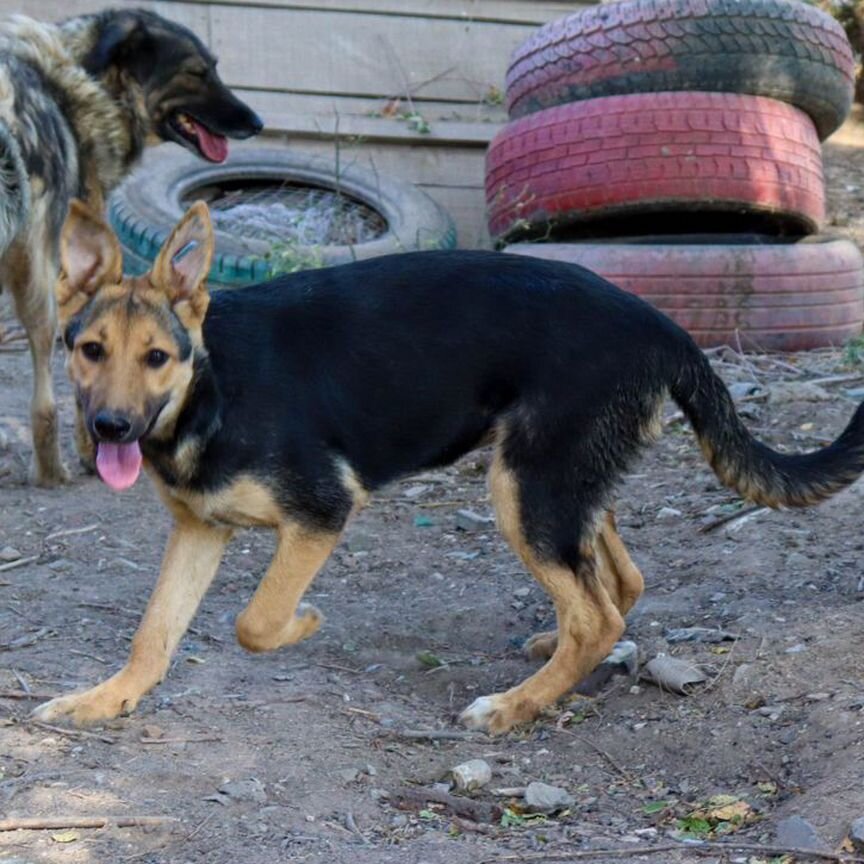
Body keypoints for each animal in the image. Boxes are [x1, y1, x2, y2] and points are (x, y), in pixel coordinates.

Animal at [0, 10, 262, 486]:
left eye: (214, 68)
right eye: (196, 72)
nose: (257, 123)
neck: (85, 74)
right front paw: (91, 453)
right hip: (37, 284)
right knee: (44, 404)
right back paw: (51, 473)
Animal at [37, 202, 864, 736]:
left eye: (156, 357)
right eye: (90, 351)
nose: (110, 429)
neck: (208, 387)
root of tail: (662, 325)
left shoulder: (322, 510)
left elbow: (256, 622)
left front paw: (306, 620)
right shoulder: (198, 530)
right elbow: (153, 632)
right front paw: (106, 699)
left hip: (521, 488)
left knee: (597, 612)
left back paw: (513, 707)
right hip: (555, 479)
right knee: (617, 588)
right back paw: (553, 651)